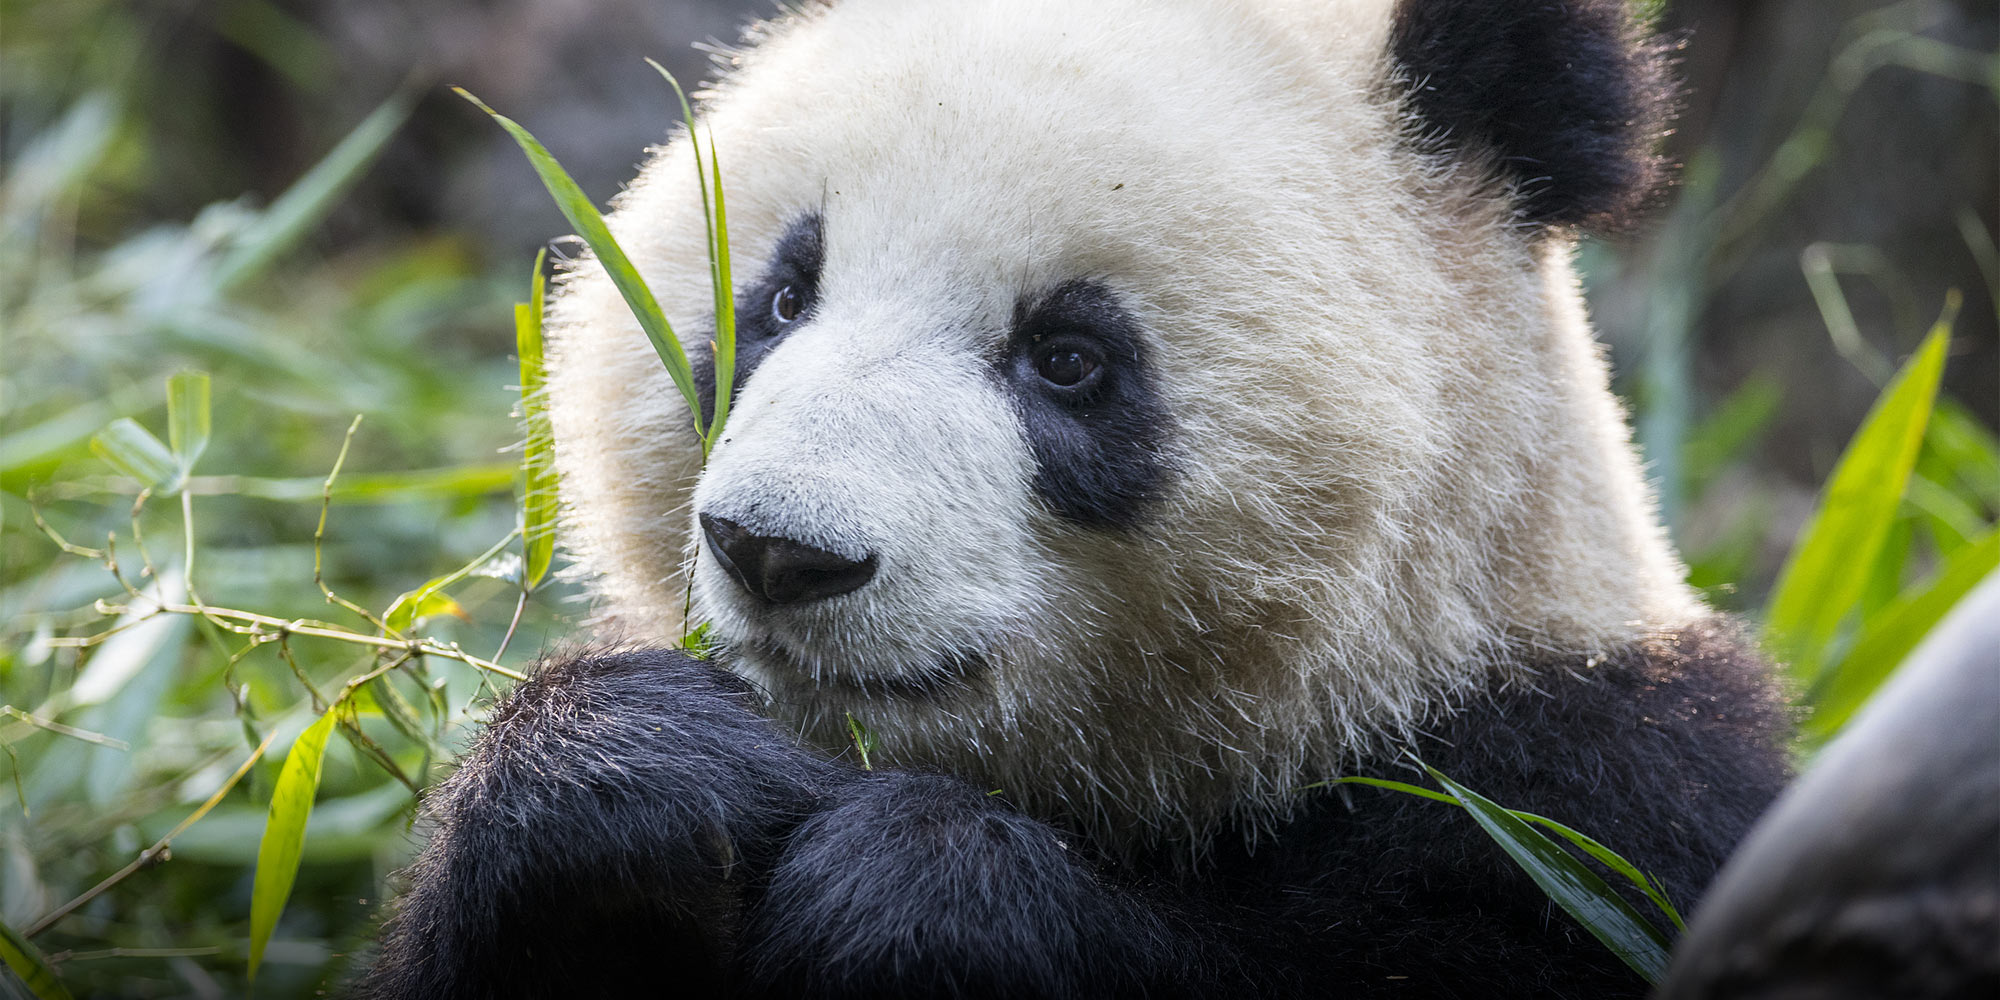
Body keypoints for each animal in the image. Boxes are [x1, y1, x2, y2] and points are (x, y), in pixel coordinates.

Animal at [360, 1, 1800, 1000]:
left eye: (1067, 357)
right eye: (779, 296)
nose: (777, 553)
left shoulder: (1582, 804)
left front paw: (912, 889)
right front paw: (633, 773)